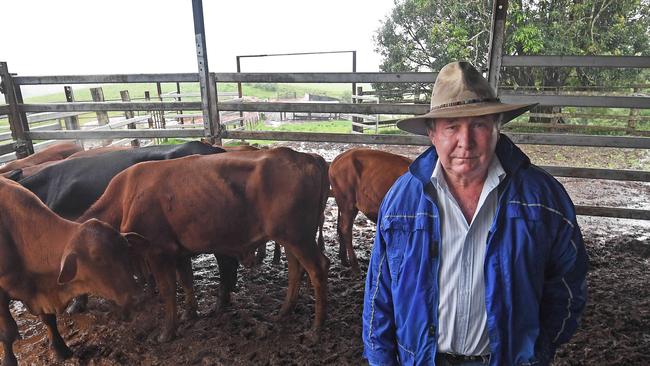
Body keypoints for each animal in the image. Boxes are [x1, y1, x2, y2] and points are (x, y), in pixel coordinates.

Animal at [0, 178, 142, 366]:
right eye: (97, 258)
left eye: (126, 248)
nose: (136, 297)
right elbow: (7, 332)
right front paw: (8, 360)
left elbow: (49, 319)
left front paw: (60, 349)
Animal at [79, 147, 330, 342]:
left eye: (98, 259)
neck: (127, 197)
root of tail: (306, 157)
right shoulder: (178, 251)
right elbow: (186, 280)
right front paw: (189, 313)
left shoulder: (157, 251)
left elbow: (168, 289)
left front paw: (167, 332)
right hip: (291, 239)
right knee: (296, 270)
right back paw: (284, 312)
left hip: (298, 238)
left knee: (318, 268)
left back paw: (317, 329)